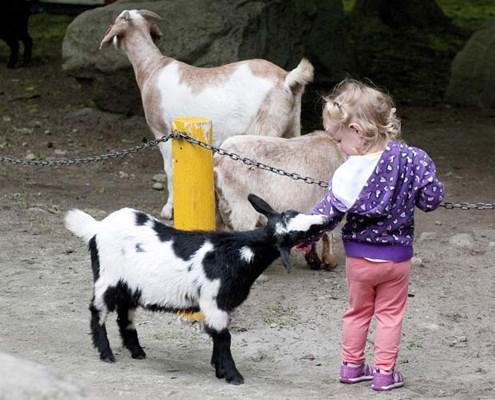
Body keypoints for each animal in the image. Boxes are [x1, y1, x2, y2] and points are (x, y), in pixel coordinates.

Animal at [66, 194, 330, 384]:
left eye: (295, 214)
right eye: (297, 234)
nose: (324, 220)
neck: (238, 253)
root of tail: (96, 228)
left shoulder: (219, 306)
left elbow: (217, 336)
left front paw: (219, 368)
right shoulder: (214, 301)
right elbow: (224, 337)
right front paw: (232, 375)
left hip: (129, 286)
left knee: (124, 316)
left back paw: (137, 351)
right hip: (107, 279)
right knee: (97, 312)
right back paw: (106, 353)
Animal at [100, 9, 314, 220]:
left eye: (115, 22)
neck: (151, 67)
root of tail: (287, 79)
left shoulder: (162, 131)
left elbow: (170, 170)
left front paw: (169, 210)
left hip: (265, 129)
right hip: (291, 127)